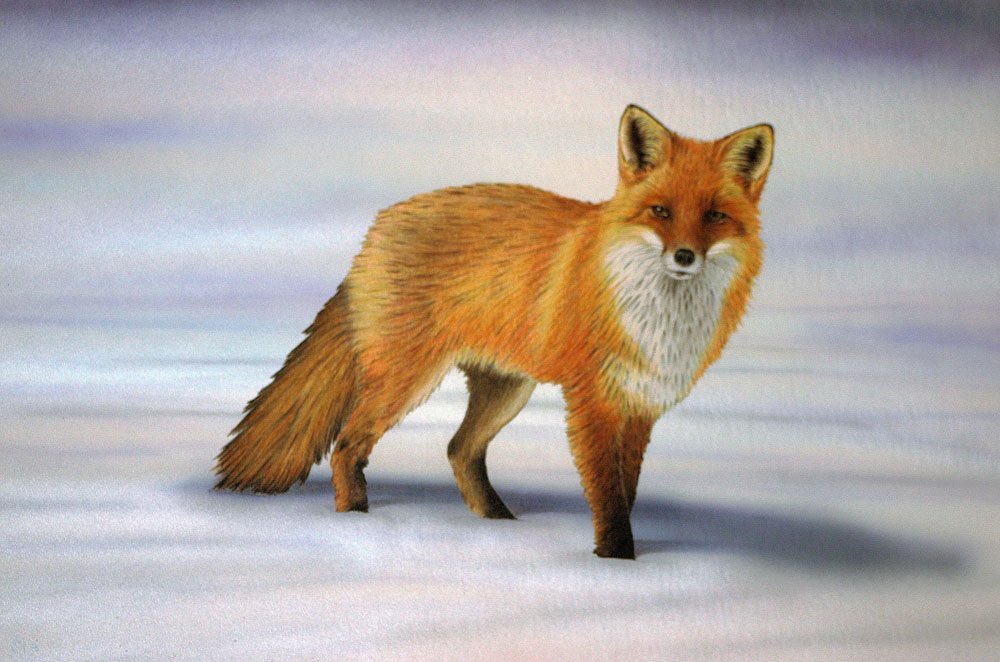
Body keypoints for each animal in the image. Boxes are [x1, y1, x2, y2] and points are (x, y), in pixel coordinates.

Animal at [215, 104, 772, 559]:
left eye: (715, 216)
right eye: (660, 211)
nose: (685, 256)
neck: (659, 315)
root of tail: (376, 227)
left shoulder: (638, 406)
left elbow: (625, 491)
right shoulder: (592, 400)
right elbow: (609, 497)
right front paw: (616, 564)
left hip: (506, 389)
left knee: (459, 450)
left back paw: (499, 528)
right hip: (407, 379)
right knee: (349, 445)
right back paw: (357, 523)